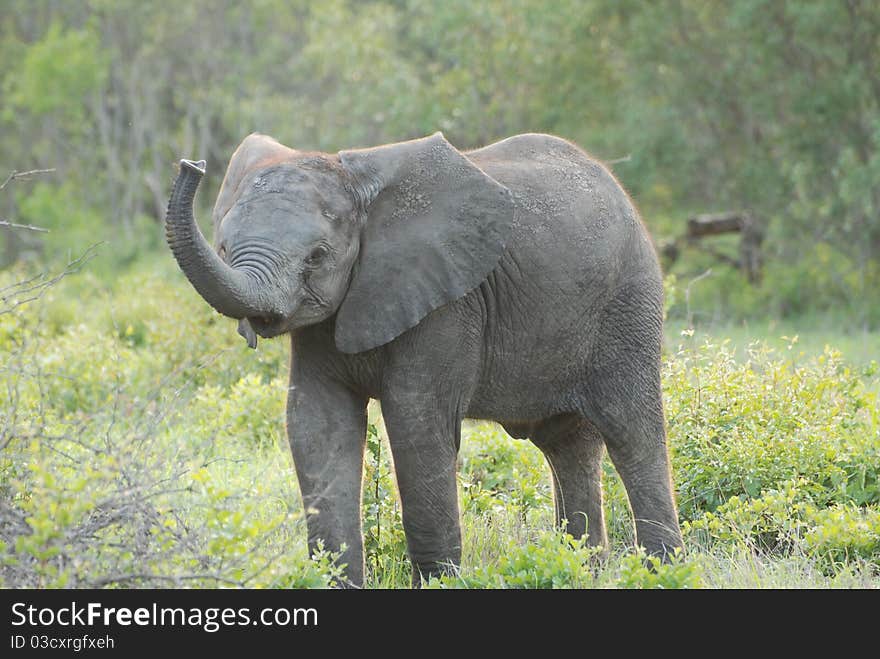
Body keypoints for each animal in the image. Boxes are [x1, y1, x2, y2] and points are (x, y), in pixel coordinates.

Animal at [167, 130, 688, 588]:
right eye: (223, 248)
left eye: (317, 256)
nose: (192, 164)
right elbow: (317, 424)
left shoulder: (448, 304)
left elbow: (416, 423)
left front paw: (439, 583)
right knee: (568, 444)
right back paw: (585, 570)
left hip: (629, 302)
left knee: (631, 432)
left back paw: (665, 573)